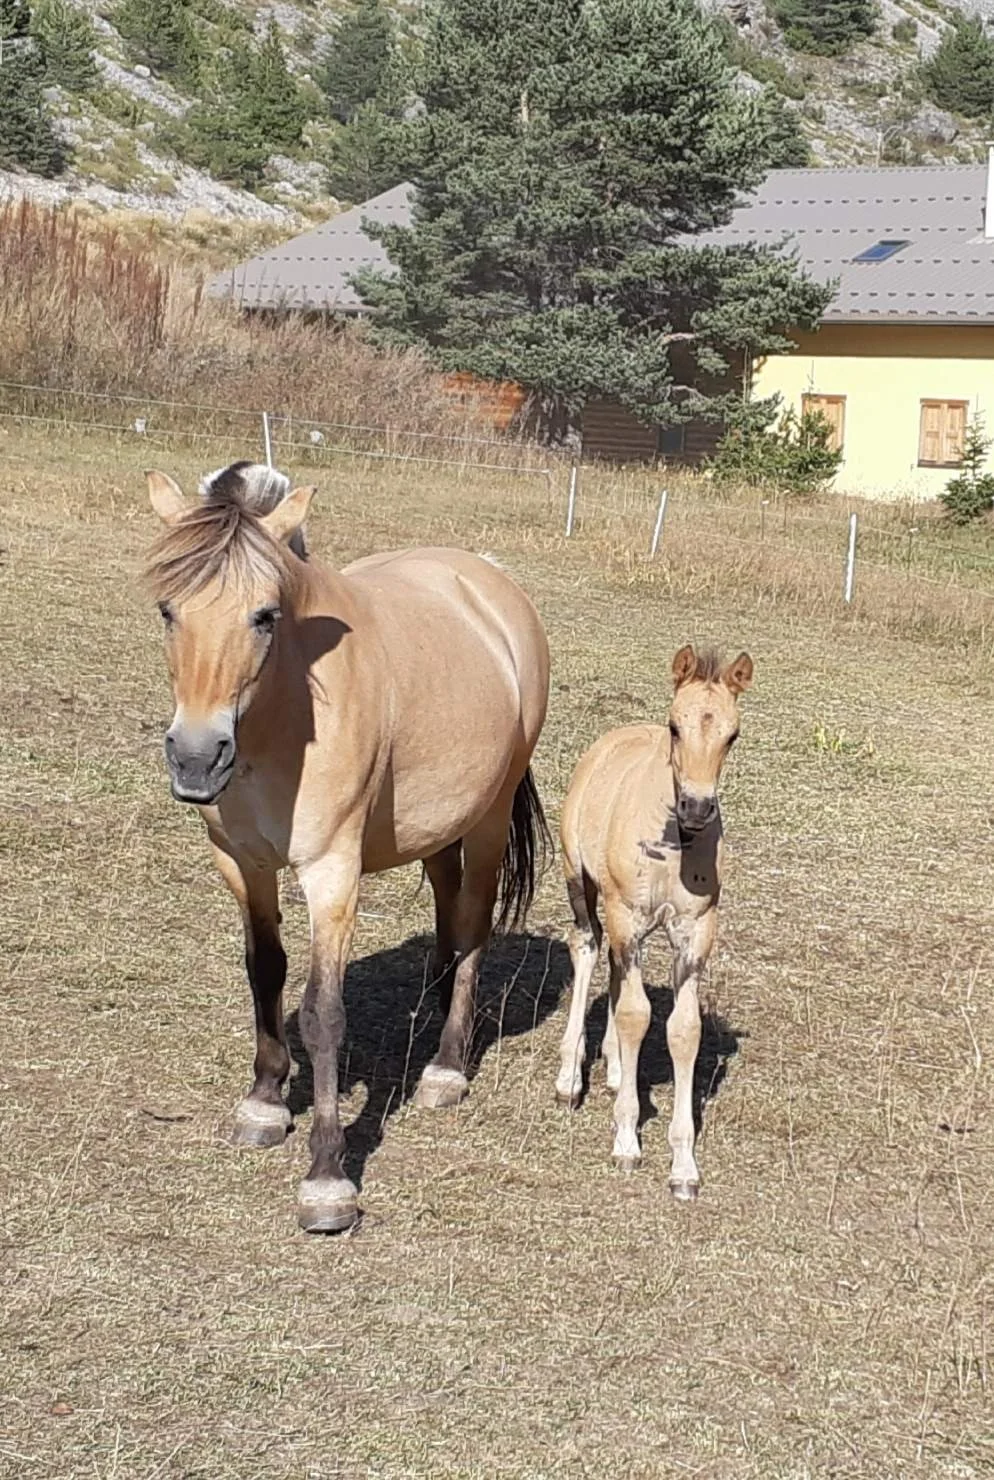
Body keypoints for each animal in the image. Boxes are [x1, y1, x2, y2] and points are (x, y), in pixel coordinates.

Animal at [144, 460, 551, 1233]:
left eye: (264, 616)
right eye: (167, 611)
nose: (195, 758)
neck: (284, 718)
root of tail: (489, 579)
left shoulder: (332, 873)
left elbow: (323, 1013)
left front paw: (328, 1180)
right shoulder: (242, 865)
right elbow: (264, 972)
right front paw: (265, 1103)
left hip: (486, 820)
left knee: (476, 921)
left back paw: (446, 1065)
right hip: (436, 819)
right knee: (448, 900)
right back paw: (430, 1003)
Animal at [554, 644, 753, 1199]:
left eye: (732, 734)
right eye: (674, 727)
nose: (697, 807)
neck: (674, 845)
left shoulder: (695, 934)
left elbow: (681, 1030)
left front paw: (684, 1166)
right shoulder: (627, 914)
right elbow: (635, 1015)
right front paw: (626, 1140)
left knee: (616, 969)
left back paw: (615, 1069)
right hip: (581, 880)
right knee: (588, 946)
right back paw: (569, 1079)